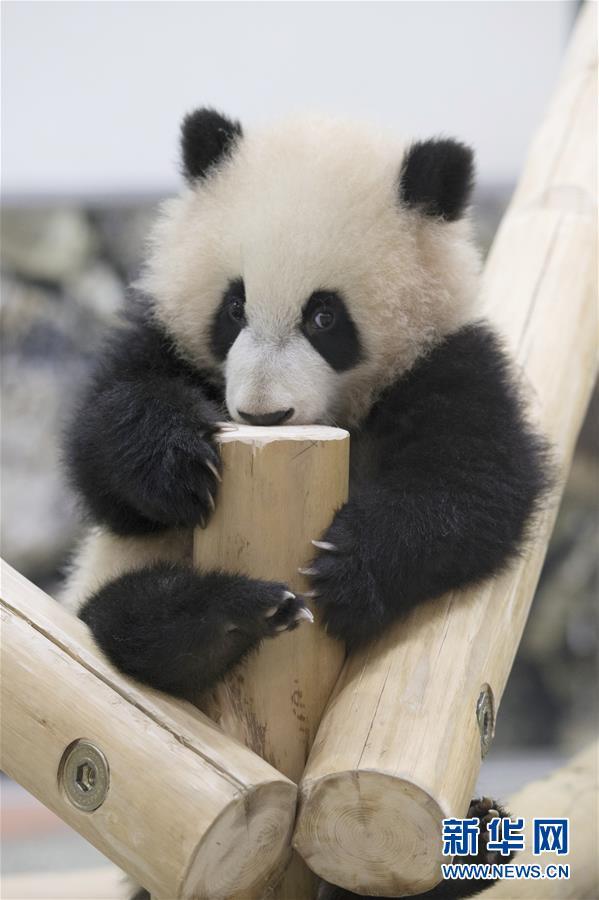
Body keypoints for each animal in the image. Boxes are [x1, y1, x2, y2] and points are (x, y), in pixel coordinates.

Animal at [63, 110, 552, 900]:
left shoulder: (450, 362)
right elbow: (102, 446)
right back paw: (227, 615)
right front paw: (175, 460)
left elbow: (477, 485)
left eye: (325, 317)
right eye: (233, 306)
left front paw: (350, 565)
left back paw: (475, 846)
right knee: (125, 622)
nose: (263, 416)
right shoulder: (160, 334)